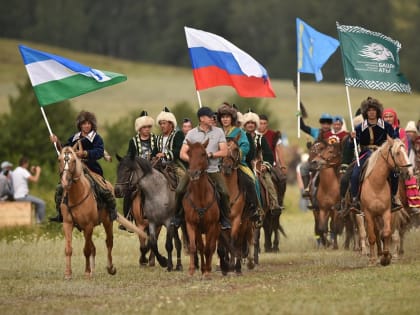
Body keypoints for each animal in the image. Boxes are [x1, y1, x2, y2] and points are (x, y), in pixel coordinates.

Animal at [57, 147, 146, 280]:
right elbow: (69, 249)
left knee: (108, 242)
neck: (77, 195)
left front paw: (87, 272)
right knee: (93, 246)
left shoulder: (88, 226)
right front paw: (68, 273)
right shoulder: (68, 224)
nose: (65, 181)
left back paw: (110, 268)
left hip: (107, 222)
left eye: (73, 160)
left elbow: (87, 250)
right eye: (60, 159)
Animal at [182, 141, 225, 278]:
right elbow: (194, 247)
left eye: (203, 154)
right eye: (189, 153)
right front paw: (192, 270)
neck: (200, 196)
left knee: (211, 247)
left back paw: (209, 268)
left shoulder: (212, 225)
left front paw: (207, 272)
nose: (193, 173)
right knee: (201, 246)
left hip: (217, 229)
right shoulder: (191, 224)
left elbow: (208, 248)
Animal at [220, 137, 256, 276]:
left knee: (246, 239)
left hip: (247, 221)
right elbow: (224, 243)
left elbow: (234, 240)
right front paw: (225, 266)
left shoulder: (237, 219)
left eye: (236, 149)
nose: (226, 167)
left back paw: (245, 264)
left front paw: (234, 266)